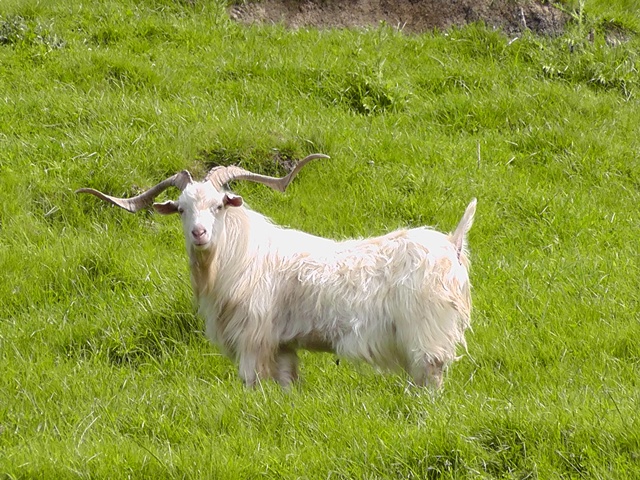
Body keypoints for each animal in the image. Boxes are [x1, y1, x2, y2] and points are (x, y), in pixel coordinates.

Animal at [78, 154, 476, 389]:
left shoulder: (253, 339)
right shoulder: (283, 345)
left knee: (430, 377)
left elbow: (251, 383)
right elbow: (288, 385)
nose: (199, 234)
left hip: (425, 335)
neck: (244, 257)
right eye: (180, 209)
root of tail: (451, 244)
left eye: (220, 205)